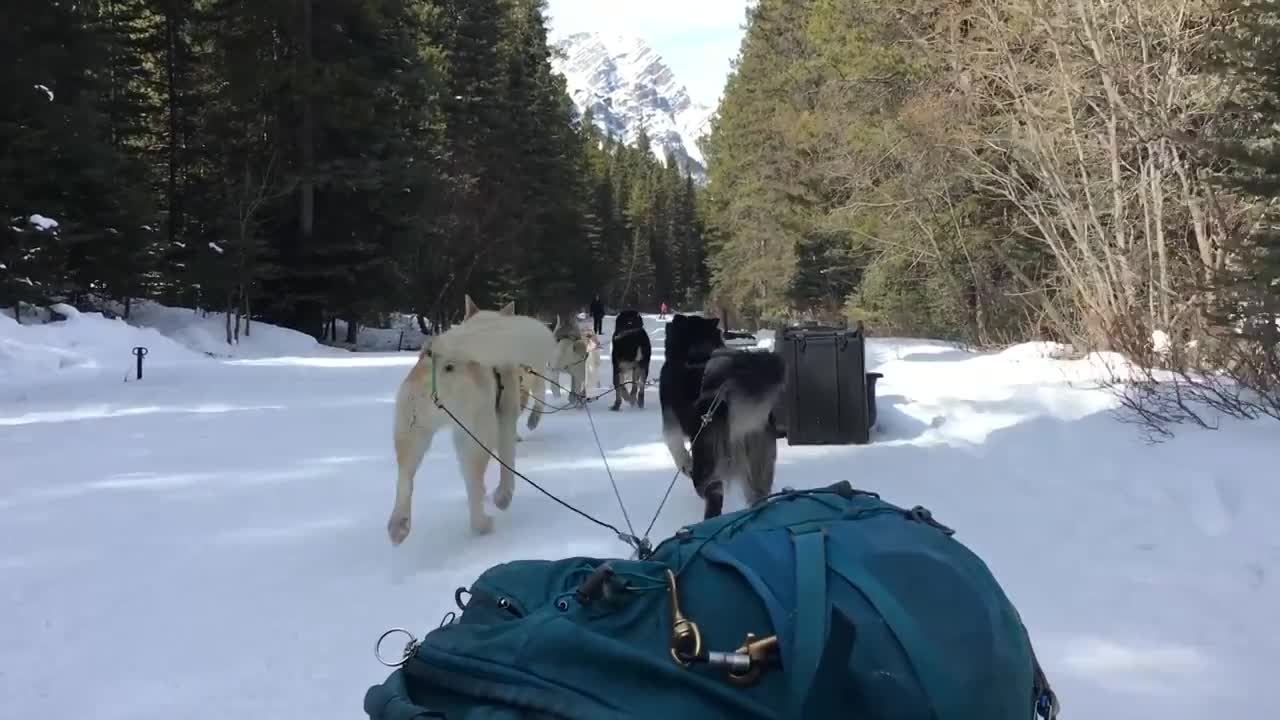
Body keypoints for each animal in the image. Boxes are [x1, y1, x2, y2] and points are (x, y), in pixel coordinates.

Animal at [384, 294, 555, 540]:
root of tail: (444, 357)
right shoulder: (505, 418)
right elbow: (507, 464)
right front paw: (503, 497)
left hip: (412, 434)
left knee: (405, 479)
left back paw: (399, 526)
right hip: (477, 436)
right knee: (473, 484)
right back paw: (482, 524)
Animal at [665, 313, 783, 515]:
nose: (671, 319)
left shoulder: (670, 424)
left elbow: (677, 451)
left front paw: (685, 466)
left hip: (707, 469)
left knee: (713, 495)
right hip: (759, 467)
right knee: (758, 498)